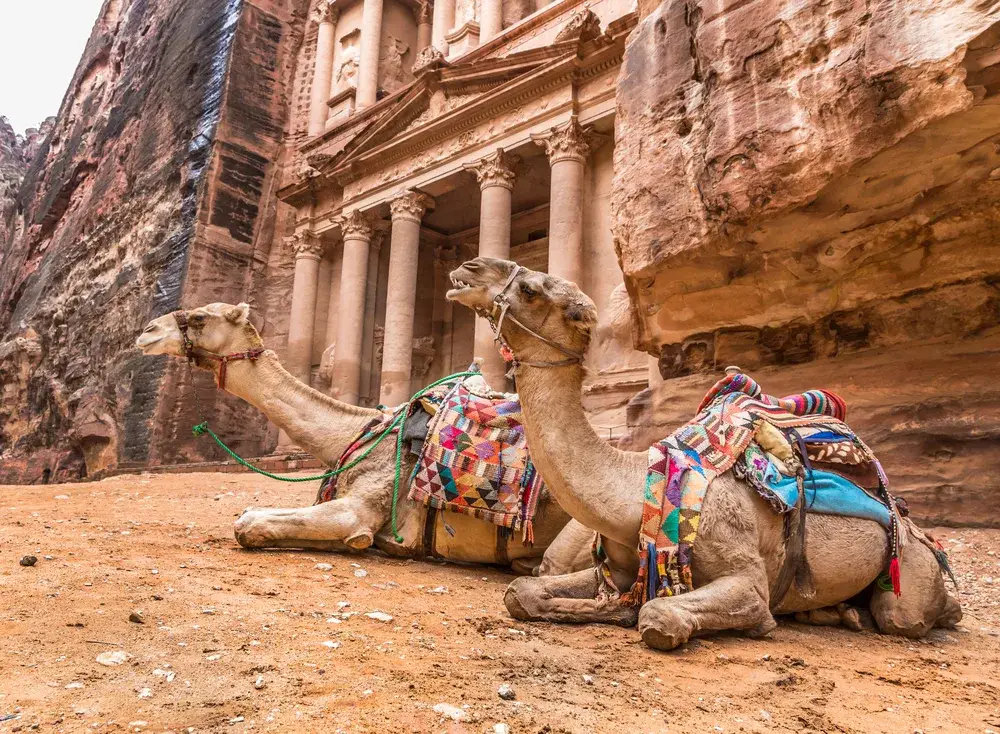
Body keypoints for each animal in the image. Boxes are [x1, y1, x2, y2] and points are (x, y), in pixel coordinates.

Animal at [133, 302, 584, 576]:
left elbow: (247, 522)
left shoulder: (363, 504)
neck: (356, 433)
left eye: (201, 318)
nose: (146, 331)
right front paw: (356, 545)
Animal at [446, 262, 960, 652]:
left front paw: (753, 624)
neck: (636, 488)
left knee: (903, 615)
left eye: (531, 290)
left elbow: (660, 615)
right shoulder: (617, 566)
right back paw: (835, 612)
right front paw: (605, 608)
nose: (467, 269)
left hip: (906, 563)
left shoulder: (744, 574)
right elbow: (520, 593)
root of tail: (904, 514)